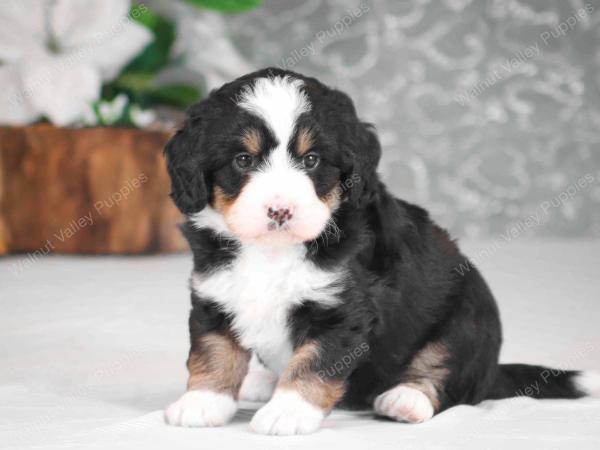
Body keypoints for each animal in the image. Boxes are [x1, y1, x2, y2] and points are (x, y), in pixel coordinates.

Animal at [162, 68, 596, 434]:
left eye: (312, 159)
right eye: (243, 160)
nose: (280, 210)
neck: (273, 252)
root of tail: (493, 368)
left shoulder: (342, 310)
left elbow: (314, 361)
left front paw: (288, 411)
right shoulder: (214, 294)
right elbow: (213, 350)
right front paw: (202, 401)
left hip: (468, 319)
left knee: (447, 370)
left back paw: (406, 398)